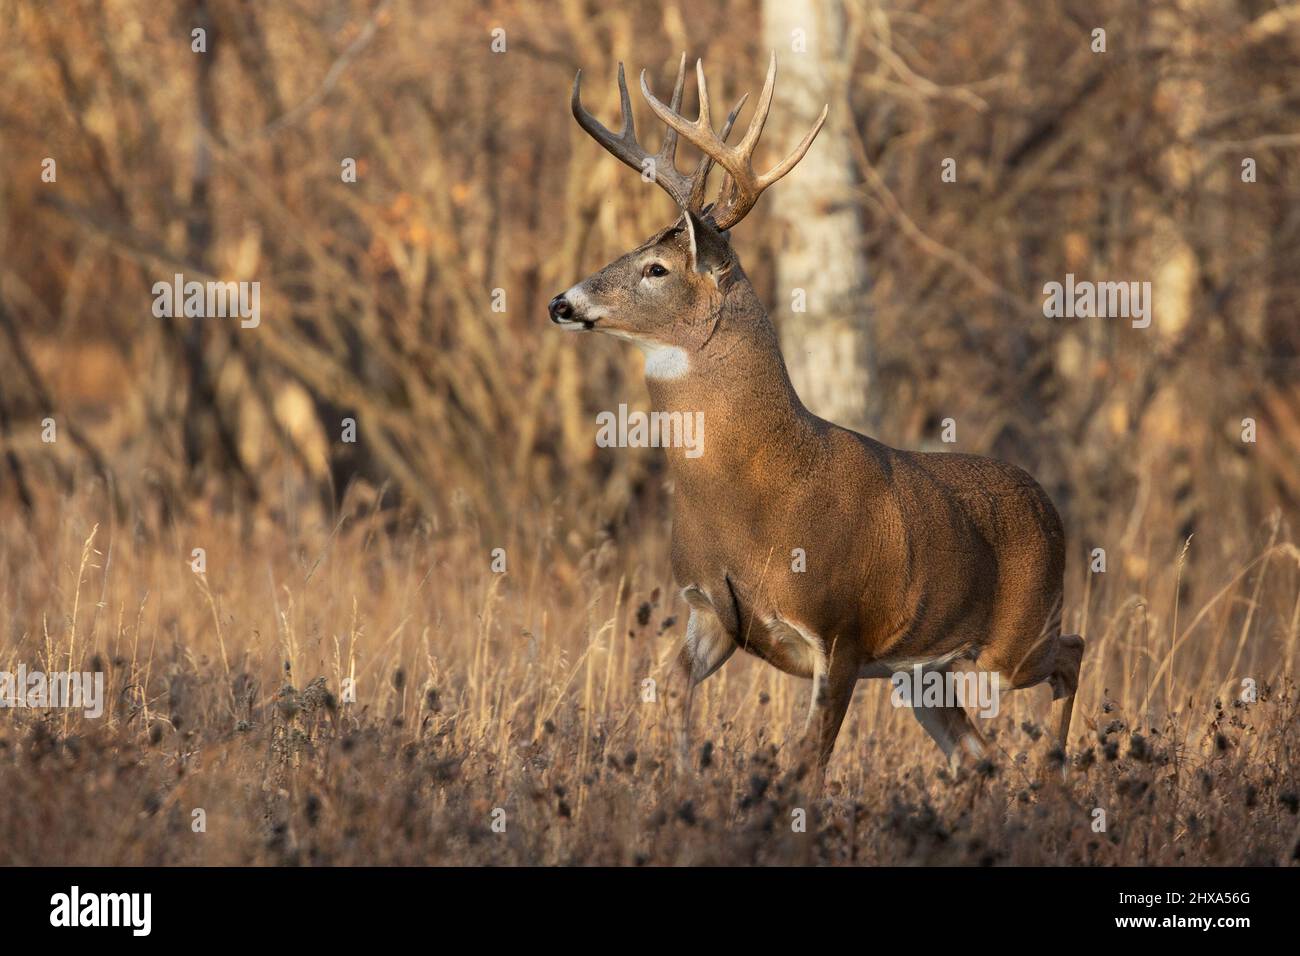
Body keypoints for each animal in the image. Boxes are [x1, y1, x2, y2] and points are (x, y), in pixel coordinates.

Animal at [549, 52, 1085, 780]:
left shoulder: (843, 631)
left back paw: (1056, 769)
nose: (562, 302)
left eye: (656, 268)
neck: (755, 489)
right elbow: (671, 699)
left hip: (1017, 639)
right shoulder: (707, 614)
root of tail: (1050, 505)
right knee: (978, 753)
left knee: (1072, 656)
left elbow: (806, 762)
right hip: (925, 673)